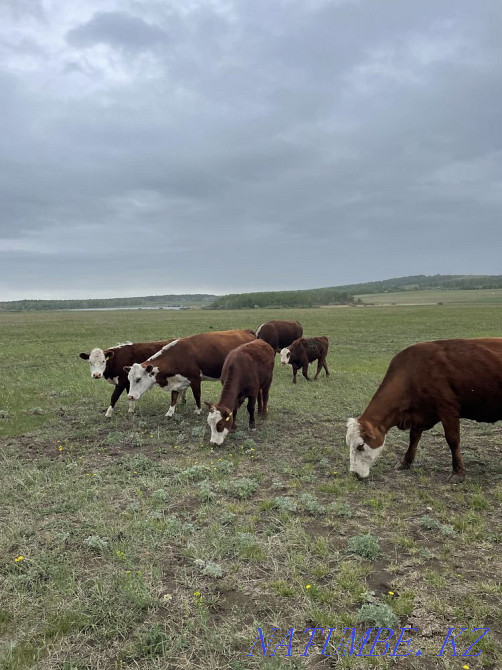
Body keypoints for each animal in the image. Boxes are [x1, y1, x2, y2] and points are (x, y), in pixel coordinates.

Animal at [126, 329, 256, 417]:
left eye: (138, 379)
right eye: (129, 379)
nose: (130, 396)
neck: (179, 355)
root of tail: (246, 331)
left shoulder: (195, 379)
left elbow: (197, 395)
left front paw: (198, 410)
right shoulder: (175, 380)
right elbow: (173, 397)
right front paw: (170, 412)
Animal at [346, 338, 502, 483]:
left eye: (360, 446)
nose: (354, 473)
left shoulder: (448, 409)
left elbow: (453, 440)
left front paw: (458, 472)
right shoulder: (420, 414)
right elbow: (414, 437)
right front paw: (405, 462)